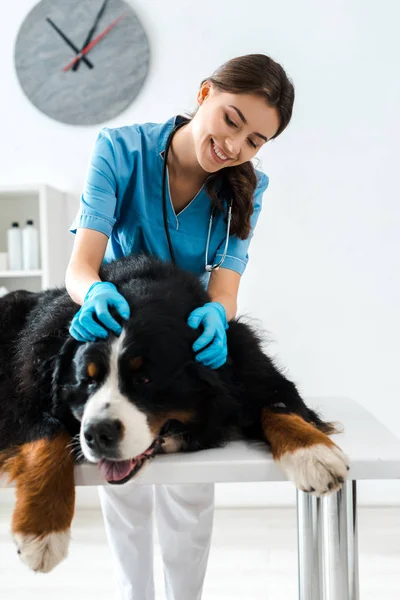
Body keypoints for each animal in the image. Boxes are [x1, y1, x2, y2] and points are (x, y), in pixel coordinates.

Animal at [0, 252, 348, 572]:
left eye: (145, 379)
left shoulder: (243, 357)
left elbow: (277, 405)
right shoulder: (21, 394)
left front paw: (314, 455)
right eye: (87, 380)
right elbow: (47, 433)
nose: (97, 433)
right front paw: (42, 532)